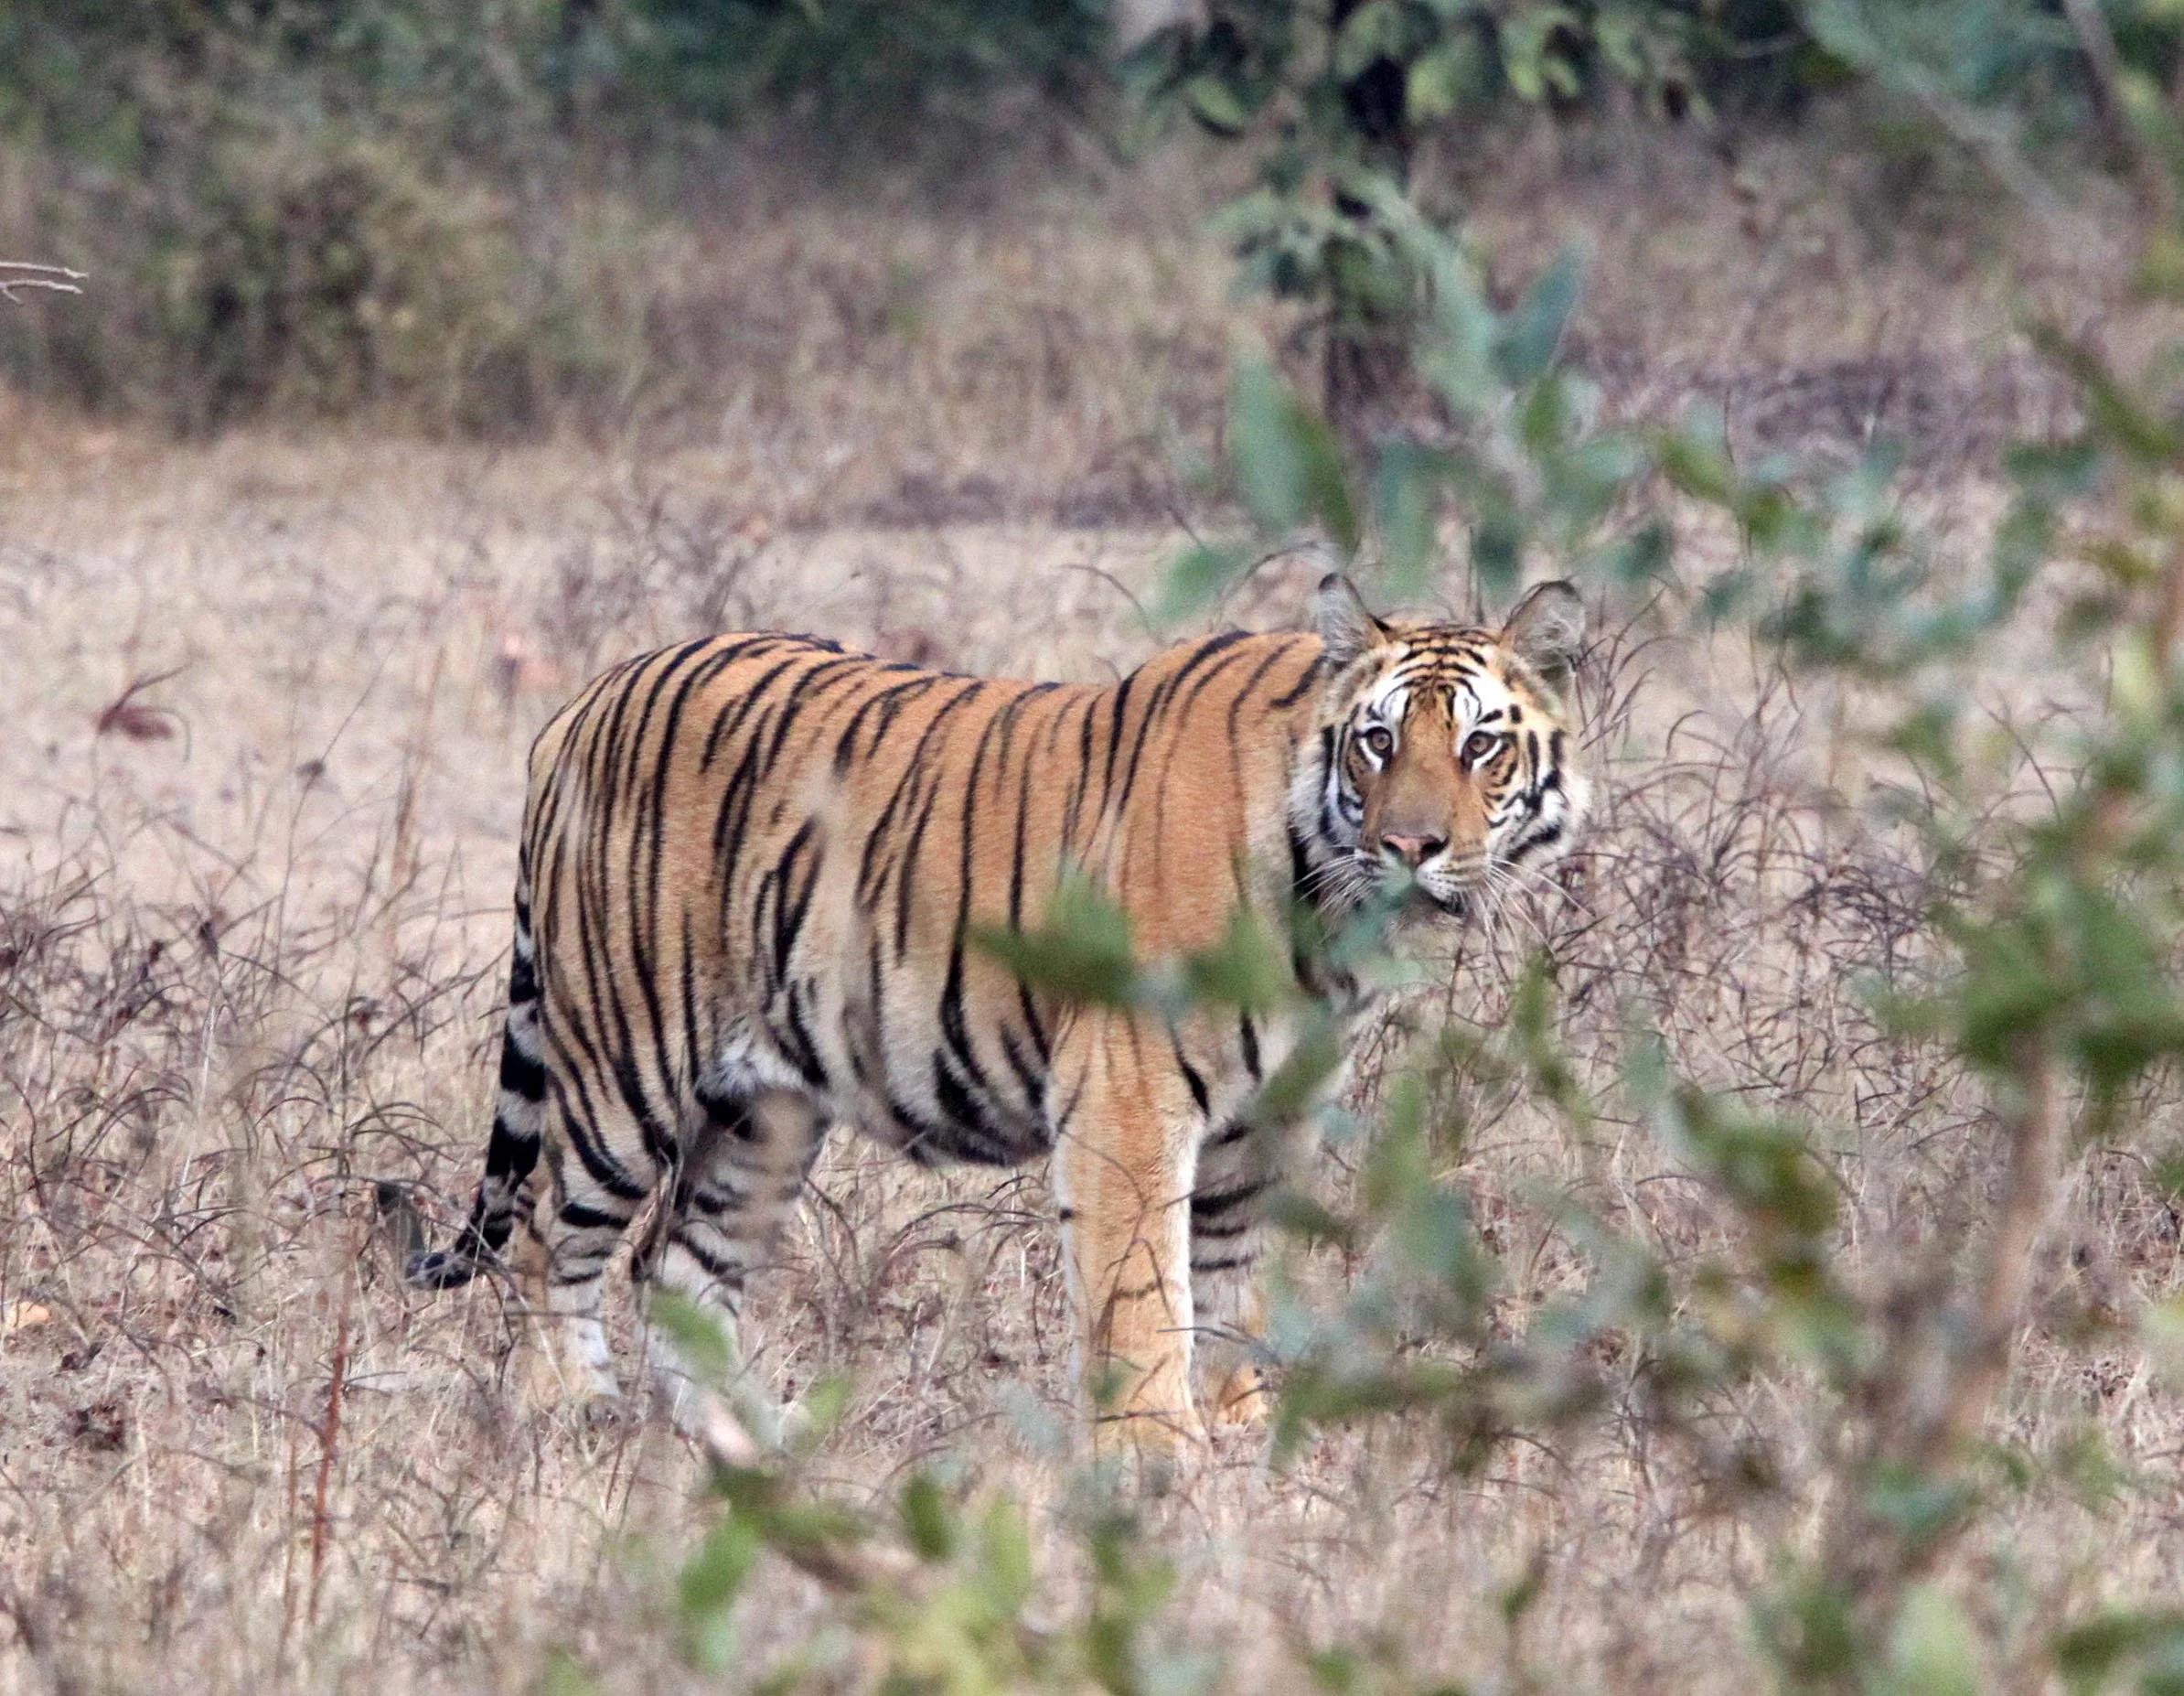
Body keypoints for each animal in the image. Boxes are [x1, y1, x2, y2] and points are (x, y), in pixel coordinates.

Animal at [405, 575, 1590, 1446]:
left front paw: (1245, 1441)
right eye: (1379, 742)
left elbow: (1232, 1289)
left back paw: (746, 1445)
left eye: (1480, 745)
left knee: (681, 1270)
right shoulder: (1128, 1096)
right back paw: (575, 1413)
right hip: (624, 1070)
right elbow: (1143, 1295)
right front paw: (1161, 1461)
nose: (1409, 847)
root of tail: (582, 703)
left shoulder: (1267, 1125)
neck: (1329, 917)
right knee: (550, 1239)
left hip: (761, 1115)